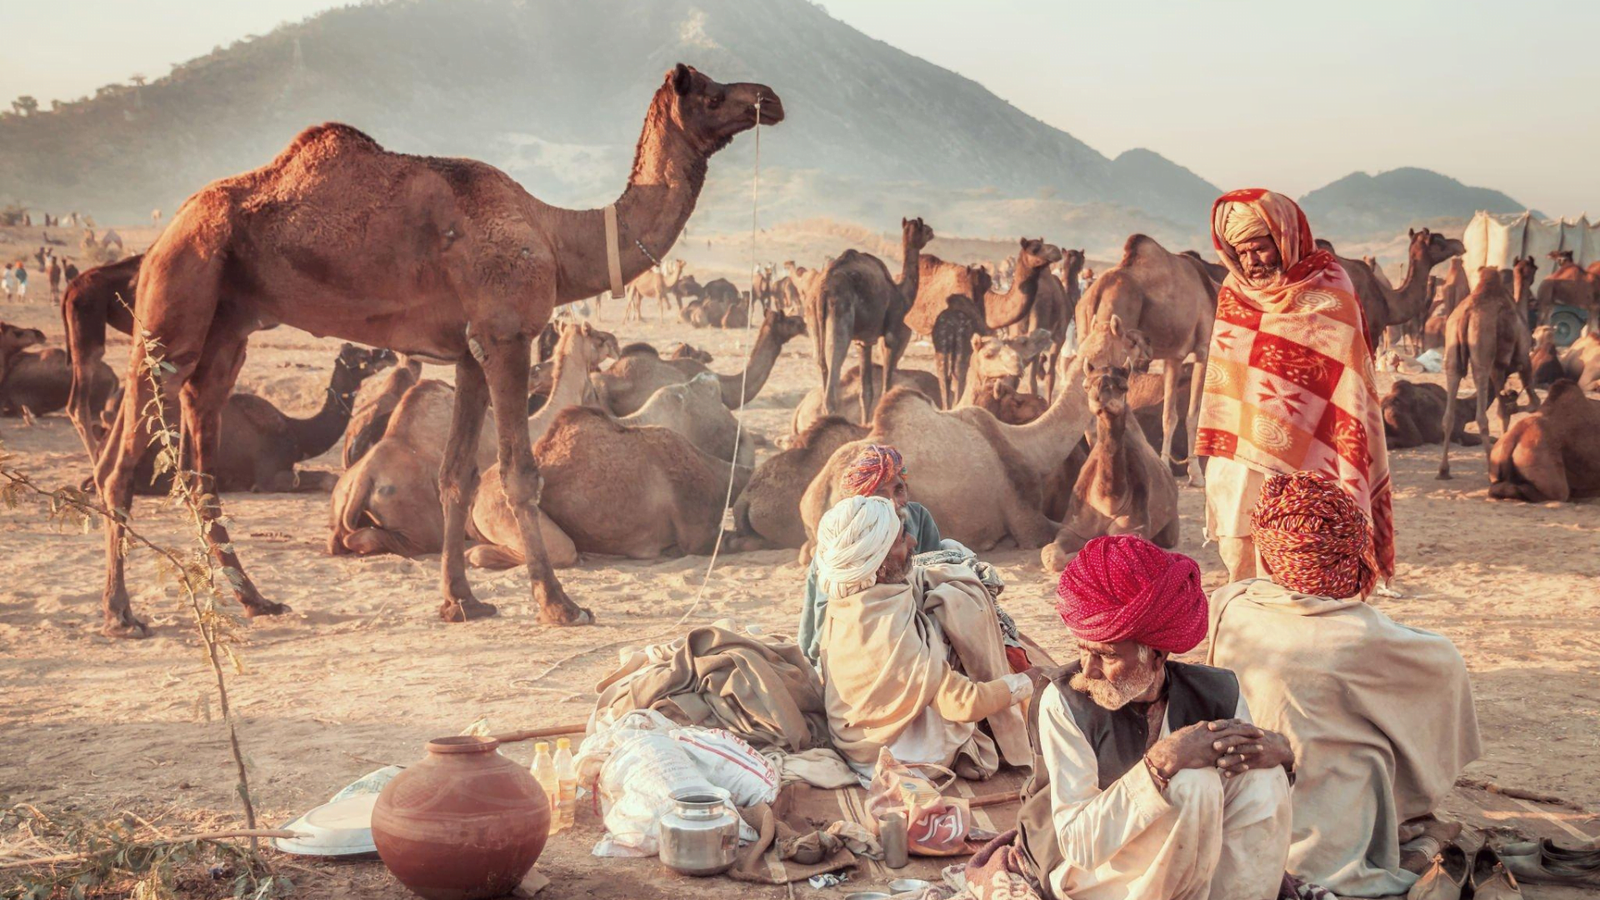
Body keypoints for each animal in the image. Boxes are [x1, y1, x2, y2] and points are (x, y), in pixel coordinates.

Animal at [90, 63, 780, 636]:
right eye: (712, 93)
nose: (768, 99)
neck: (558, 238)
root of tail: (168, 229)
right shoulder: (507, 336)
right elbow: (519, 474)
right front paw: (560, 605)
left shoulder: (470, 352)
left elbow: (457, 475)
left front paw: (461, 602)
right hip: (173, 305)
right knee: (121, 464)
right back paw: (122, 615)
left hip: (227, 329)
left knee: (200, 461)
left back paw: (256, 601)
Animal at [813, 217, 935, 423]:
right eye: (923, 228)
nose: (932, 231)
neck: (900, 293)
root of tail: (824, 290)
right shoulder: (892, 332)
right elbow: (886, 386)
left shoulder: (864, 340)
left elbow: (866, 392)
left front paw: (865, 423)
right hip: (840, 313)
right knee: (834, 366)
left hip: (813, 318)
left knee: (822, 364)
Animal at [1042, 362, 1179, 572]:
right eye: (1086, 386)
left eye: (1124, 387)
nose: (1099, 394)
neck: (1108, 502)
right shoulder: (1073, 527)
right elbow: (1050, 554)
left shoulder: (1133, 528)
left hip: (1171, 523)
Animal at [1074, 234, 1214, 485]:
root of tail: (1094, 293)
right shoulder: (1203, 349)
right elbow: (1193, 415)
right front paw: (1196, 475)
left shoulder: (1174, 356)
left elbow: (1169, 415)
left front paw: (1165, 466)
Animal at [1439, 268, 1540, 480]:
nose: (1535, 299)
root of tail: (1466, 316)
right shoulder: (1522, 359)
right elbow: (1532, 404)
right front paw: (1512, 403)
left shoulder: (1499, 368)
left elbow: (1503, 413)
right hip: (1482, 356)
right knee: (1481, 415)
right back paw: (1490, 468)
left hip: (1452, 353)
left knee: (1449, 414)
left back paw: (1443, 470)